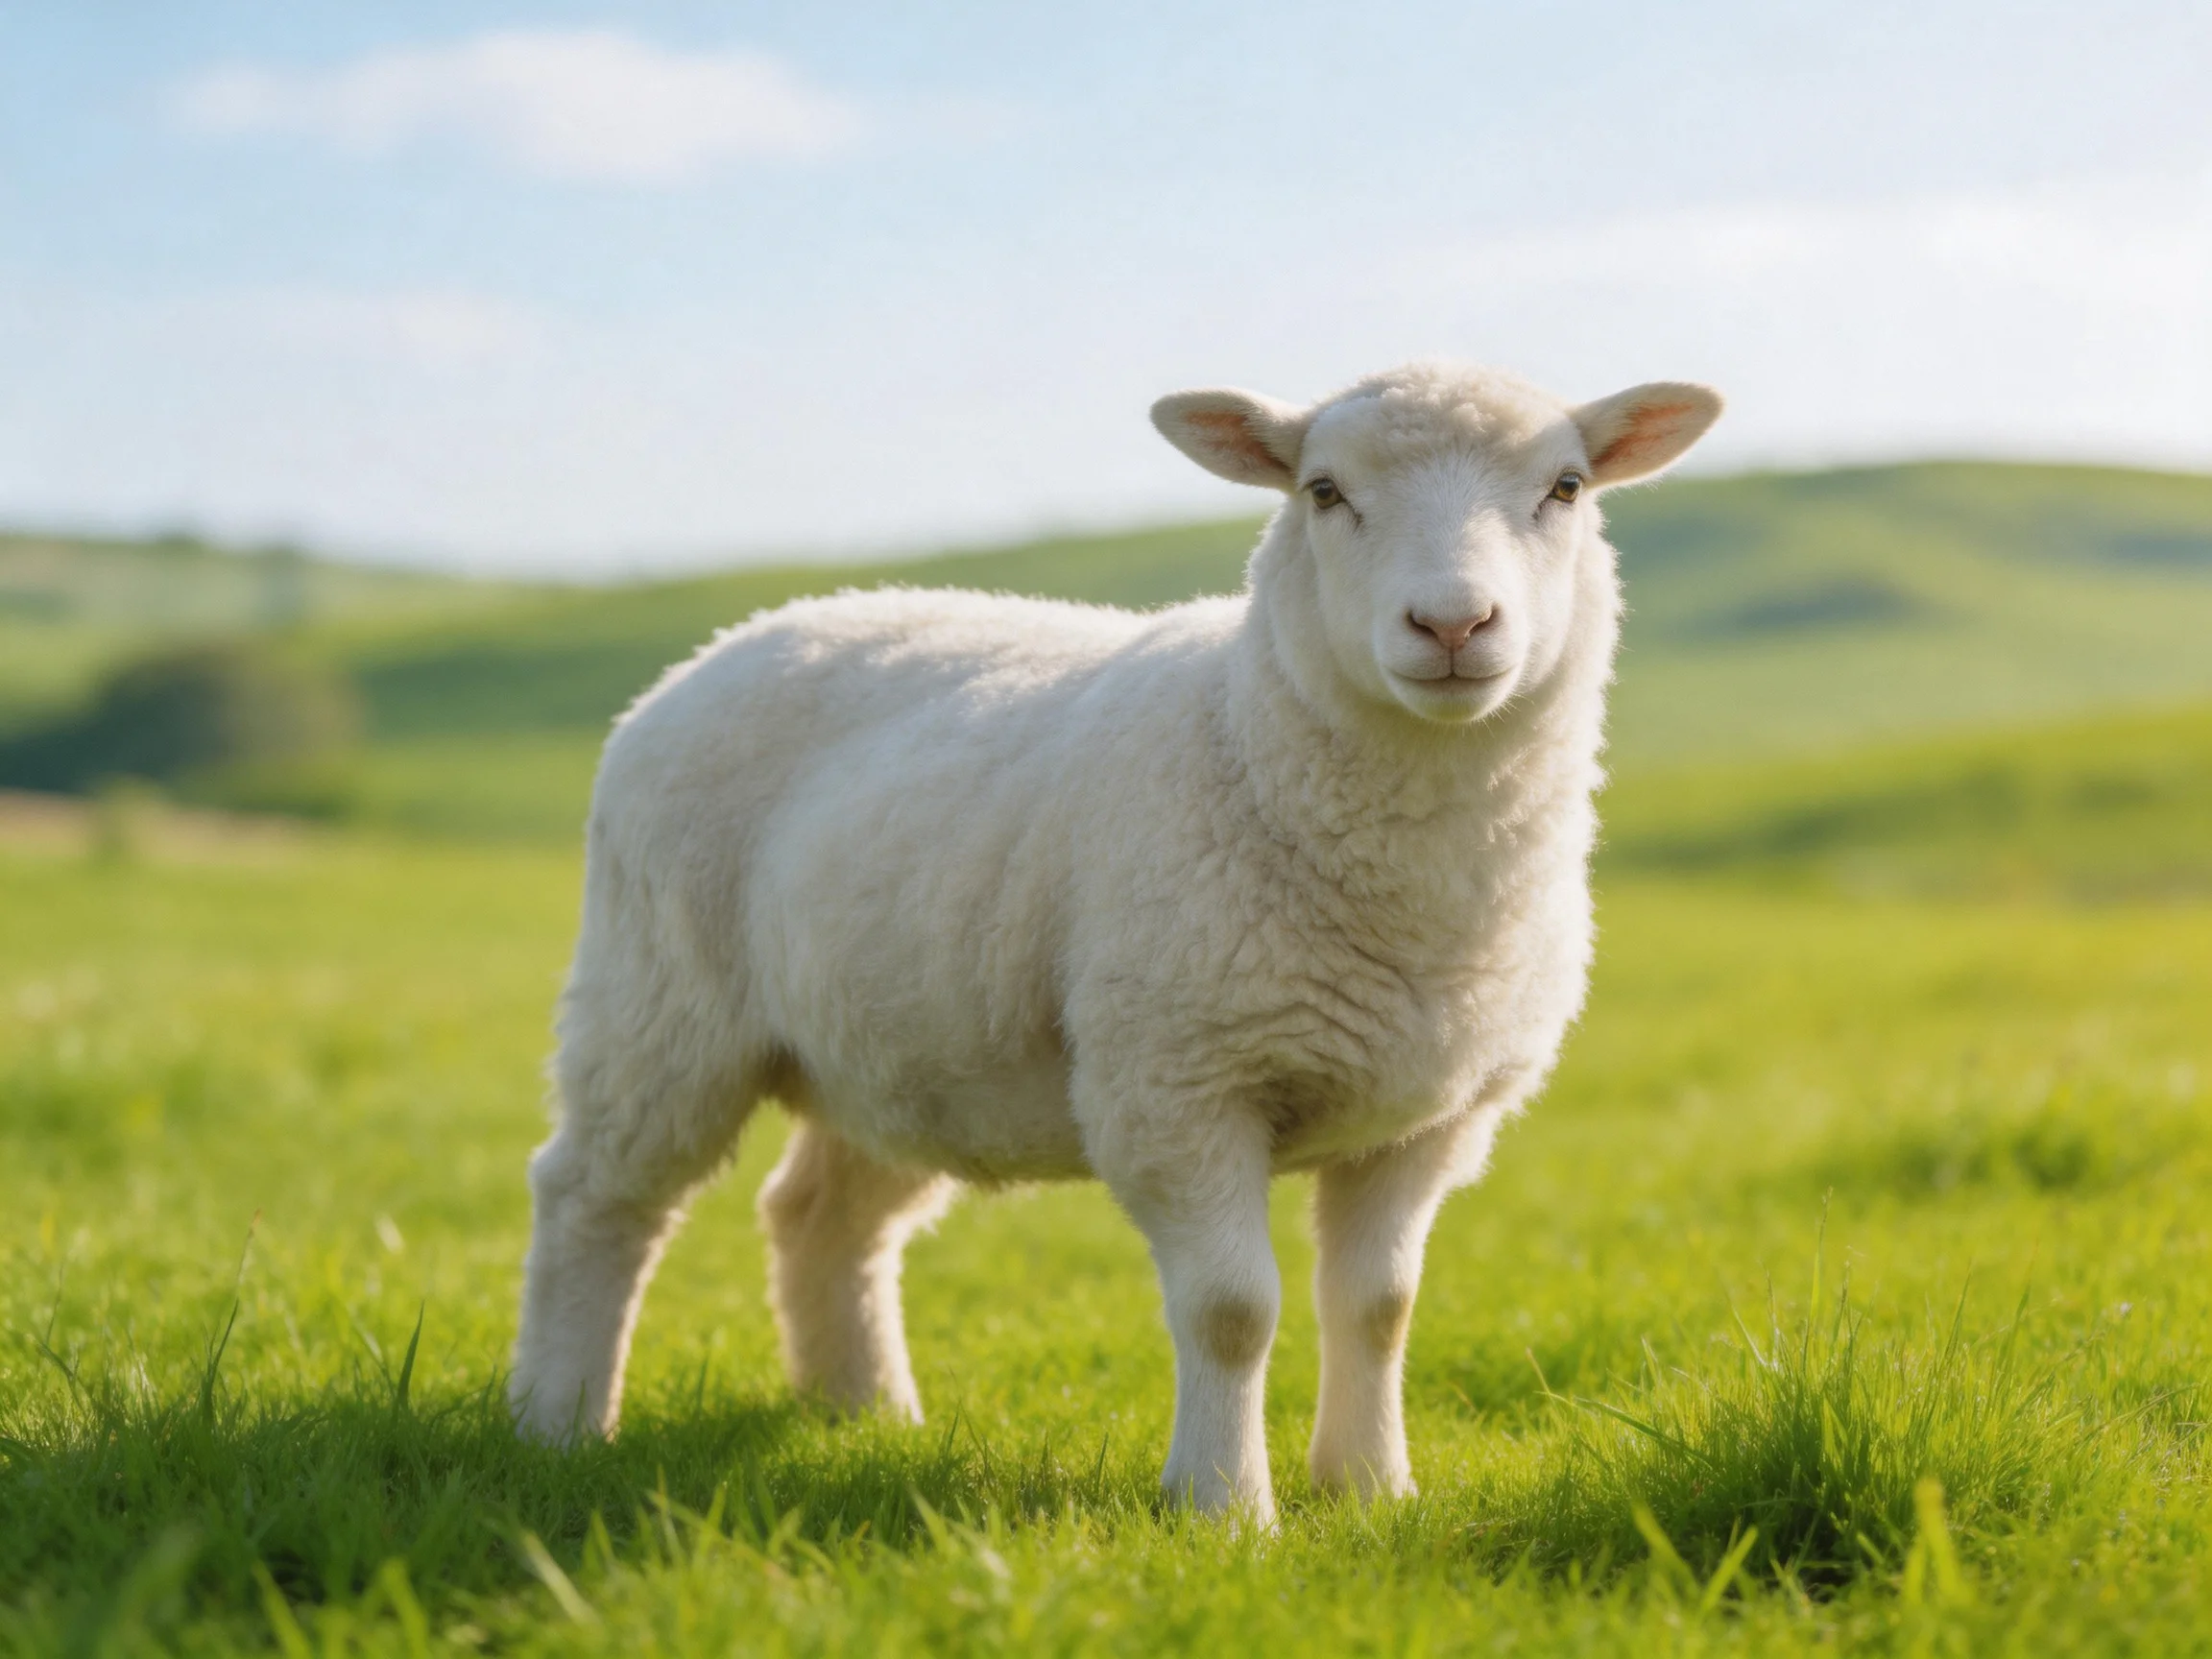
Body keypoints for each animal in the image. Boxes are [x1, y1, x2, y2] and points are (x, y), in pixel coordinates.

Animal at [509, 361, 1723, 1522]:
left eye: (1566, 488)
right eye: (1323, 491)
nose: (1454, 626)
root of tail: (731, 642)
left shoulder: (1430, 1116)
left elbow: (1378, 1306)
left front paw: (1373, 1491)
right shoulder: (1176, 1081)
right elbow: (1233, 1311)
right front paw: (1223, 1510)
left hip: (895, 1039)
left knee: (822, 1217)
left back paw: (864, 1418)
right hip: (659, 997)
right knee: (594, 1196)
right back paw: (557, 1421)